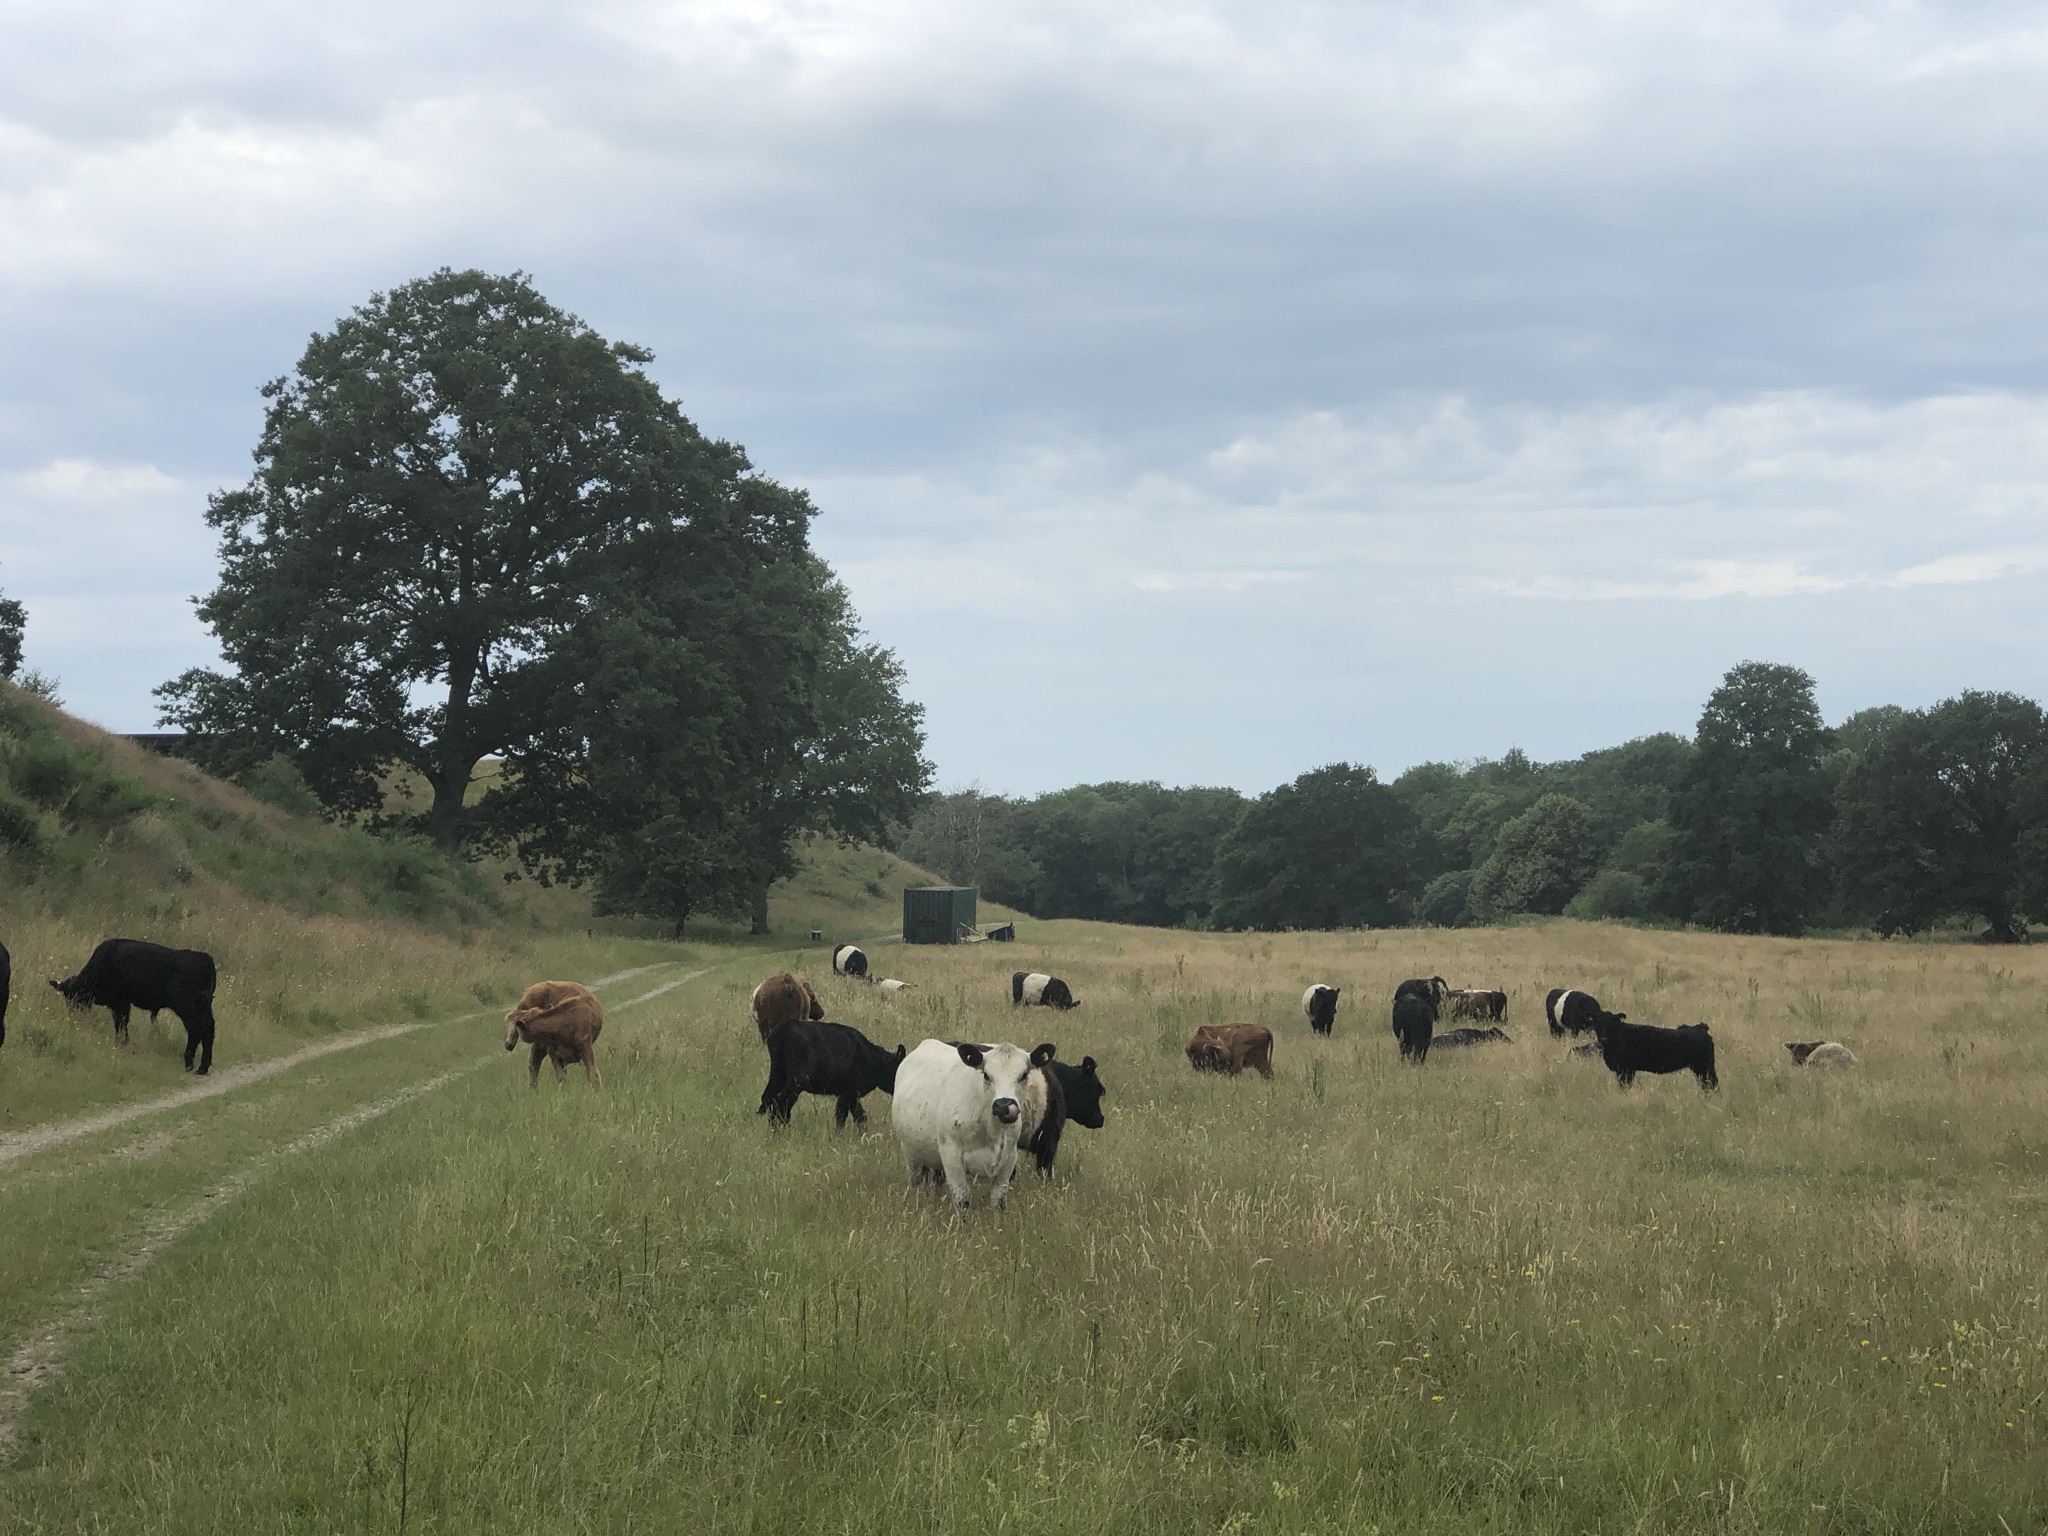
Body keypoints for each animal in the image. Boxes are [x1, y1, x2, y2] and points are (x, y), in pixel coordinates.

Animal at [51, 938, 218, 1074]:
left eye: (74, 997)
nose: (74, 1014)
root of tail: (205, 958)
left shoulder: (121, 1003)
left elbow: (121, 1023)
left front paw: (121, 1043)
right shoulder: (120, 1004)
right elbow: (121, 1024)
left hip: (186, 1006)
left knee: (196, 1029)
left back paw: (189, 1063)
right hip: (204, 1007)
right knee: (208, 1028)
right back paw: (203, 1067)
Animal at [757, 1020, 905, 1128]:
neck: (874, 1060)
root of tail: (781, 1031)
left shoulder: (852, 1095)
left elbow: (860, 1116)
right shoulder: (849, 1093)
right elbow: (842, 1116)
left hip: (778, 1075)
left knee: (768, 1098)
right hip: (797, 1081)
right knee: (780, 1101)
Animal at [892, 1038, 1057, 1212]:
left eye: (1024, 1075)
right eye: (986, 1075)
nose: (1004, 1106)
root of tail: (928, 1042)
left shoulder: (1009, 1159)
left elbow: (998, 1201)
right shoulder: (951, 1155)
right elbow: (962, 1200)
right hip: (912, 1155)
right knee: (916, 1182)